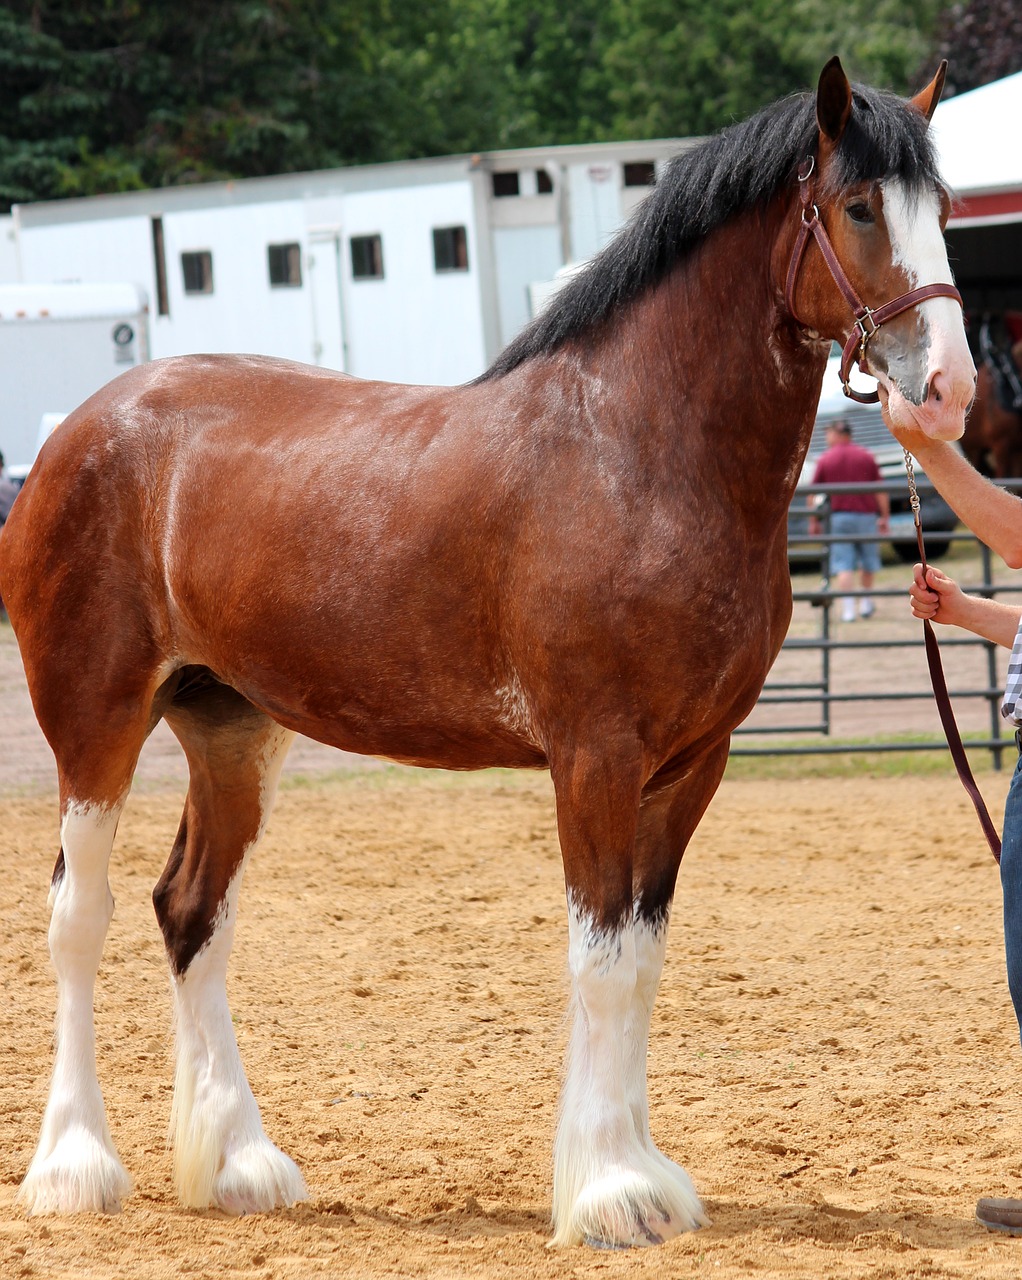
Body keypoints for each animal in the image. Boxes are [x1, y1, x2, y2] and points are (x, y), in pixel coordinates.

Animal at [0, 60, 978, 1249]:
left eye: (944, 208)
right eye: (859, 207)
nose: (948, 390)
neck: (637, 448)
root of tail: (79, 433)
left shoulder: (688, 767)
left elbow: (641, 962)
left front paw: (643, 1174)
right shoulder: (595, 755)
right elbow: (599, 963)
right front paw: (607, 1191)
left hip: (231, 729)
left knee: (194, 911)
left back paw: (237, 1163)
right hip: (93, 720)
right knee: (77, 917)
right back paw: (75, 1166)